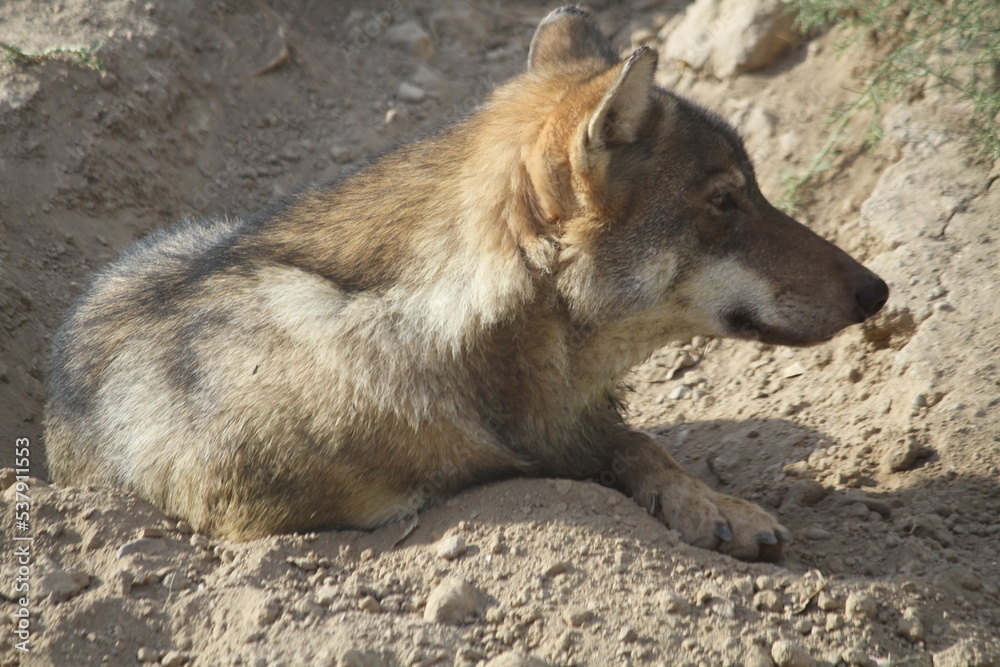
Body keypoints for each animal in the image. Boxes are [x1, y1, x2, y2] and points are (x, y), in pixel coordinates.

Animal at [45, 6, 887, 562]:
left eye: (755, 190)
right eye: (725, 201)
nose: (878, 290)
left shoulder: (580, 423)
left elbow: (640, 442)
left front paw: (711, 502)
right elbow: (563, 464)